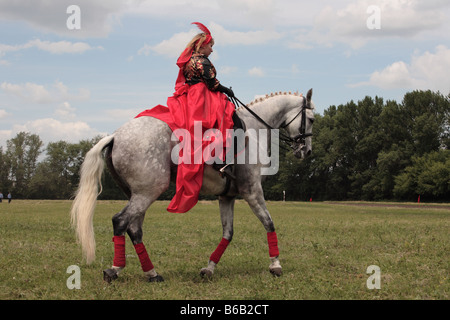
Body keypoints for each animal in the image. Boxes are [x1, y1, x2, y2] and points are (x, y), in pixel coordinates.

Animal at [71, 89, 316, 282]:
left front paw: (209, 268)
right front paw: (276, 265)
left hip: (139, 193)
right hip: (148, 191)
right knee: (120, 221)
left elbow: (228, 233)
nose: (306, 152)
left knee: (134, 229)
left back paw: (152, 273)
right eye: (312, 119)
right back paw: (115, 269)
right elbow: (269, 223)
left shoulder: (227, 196)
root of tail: (115, 136)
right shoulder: (252, 191)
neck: (254, 129)